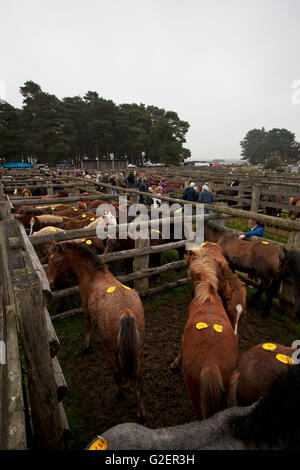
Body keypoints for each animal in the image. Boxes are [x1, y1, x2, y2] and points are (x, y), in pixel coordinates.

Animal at [45, 242, 146, 418]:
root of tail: (126, 312)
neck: (92, 274)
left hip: (112, 349)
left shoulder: (85, 309)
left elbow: (88, 327)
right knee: (138, 378)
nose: (49, 282)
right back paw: (141, 412)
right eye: (49, 260)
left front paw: (86, 346)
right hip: (138, 349)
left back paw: (119, 395)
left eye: (56, 262)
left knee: (117, 372)